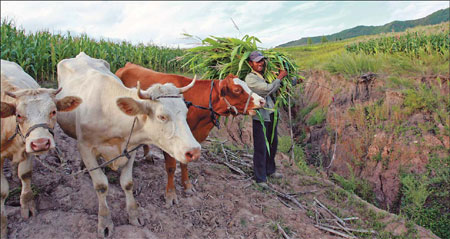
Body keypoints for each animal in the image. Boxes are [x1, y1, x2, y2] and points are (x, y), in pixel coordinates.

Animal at [0, 58, 81, 238]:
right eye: (18, 115)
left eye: (53, 111)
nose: (41, 143)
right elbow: (2, 191)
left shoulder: (26, 149)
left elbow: (25, 175)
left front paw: (27, 207)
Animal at [56, 52, 200, 237]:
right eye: (162, 116)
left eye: (186, 112)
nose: (194, 151)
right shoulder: (85, 148)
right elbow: (101, 185)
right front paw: (105, 222)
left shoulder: (130, 149)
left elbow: (127, 183)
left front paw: (134, 215)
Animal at [116, 63, 266, 205]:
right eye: (237, 90)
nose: (262, 101)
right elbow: (171, 167)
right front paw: (171, 194)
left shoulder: (189, 142)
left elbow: (185, 164)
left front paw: (187, 186)